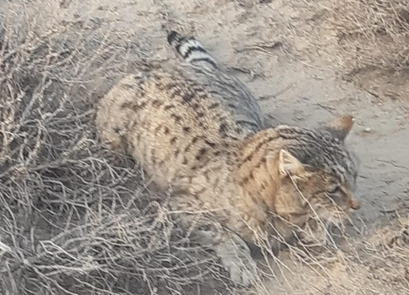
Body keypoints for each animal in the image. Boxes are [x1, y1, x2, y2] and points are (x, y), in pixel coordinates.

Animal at [96, 30, 360, 286]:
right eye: (334, 189)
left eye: (354, 178)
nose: (355, 206)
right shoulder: (179, 205)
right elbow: (223, 233)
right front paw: (242, 264)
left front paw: (315, 227)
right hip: (114, 135)